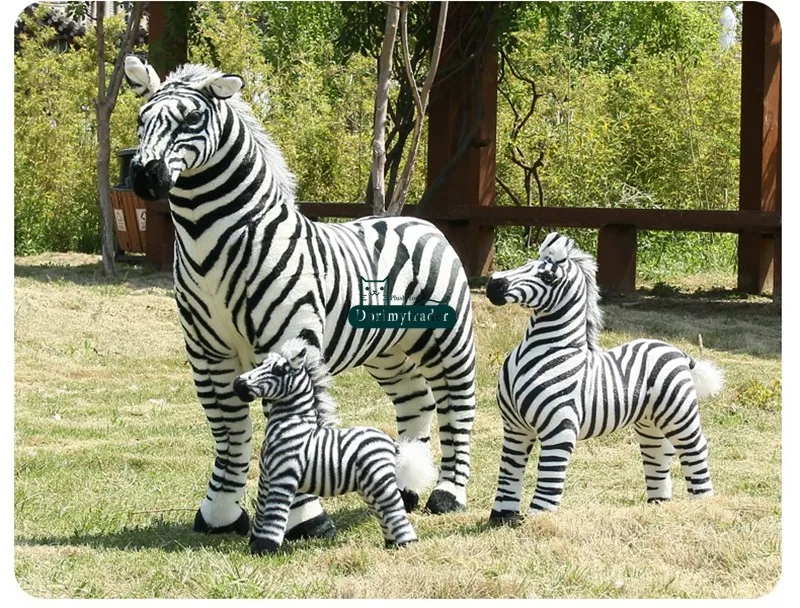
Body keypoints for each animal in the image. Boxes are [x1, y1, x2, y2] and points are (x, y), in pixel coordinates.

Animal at [233, 338, 437, 554]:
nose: (238, 384)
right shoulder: (266, 478)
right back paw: (392, 544)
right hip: (369, 486)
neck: (293, 426)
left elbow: (274, 514)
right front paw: (254, 544)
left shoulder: (283, 477)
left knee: (394, 509)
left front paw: (264, 549)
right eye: (262, 364)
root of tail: (391, 444)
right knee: (383, 512)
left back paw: (407, 544)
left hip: (380, 481)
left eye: (279, 370)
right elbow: (261, 512)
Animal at [484, 232, 722, 524]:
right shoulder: (515, 426)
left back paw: (703, 503)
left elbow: (550, 473)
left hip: (680, 412)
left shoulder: (560, 428)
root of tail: (676, 351)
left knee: (695, 449)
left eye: (548, 276)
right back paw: (658, 506)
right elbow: (509, 469)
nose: (494, 285)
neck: (544, 350)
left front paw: (540, 518)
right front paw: (503, 517)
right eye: (527, 264)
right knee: (658, 453)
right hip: (650, 421)